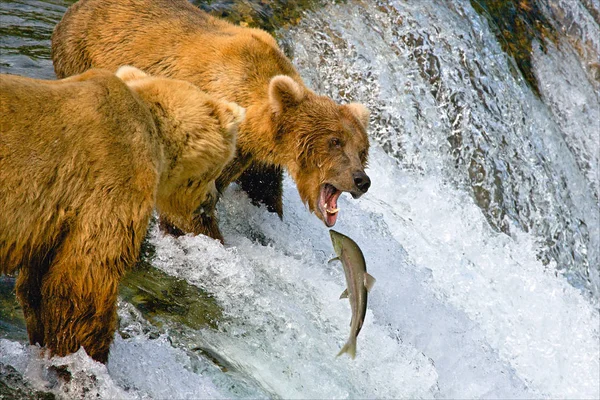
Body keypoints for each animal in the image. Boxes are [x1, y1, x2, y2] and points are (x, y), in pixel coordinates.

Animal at [0, 66, 244, 362]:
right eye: (219, 168)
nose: (210, 201)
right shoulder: (111, 180)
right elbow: (86, 278)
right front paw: (86, 357)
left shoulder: (53, 223)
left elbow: (37, 284)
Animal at [52, 0, 370, 241]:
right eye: (335, 141)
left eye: (362, 150)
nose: (362, 180)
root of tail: (76, 8)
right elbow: (187, 205)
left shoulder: (254, 157)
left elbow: (263, 189)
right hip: (79, 56)